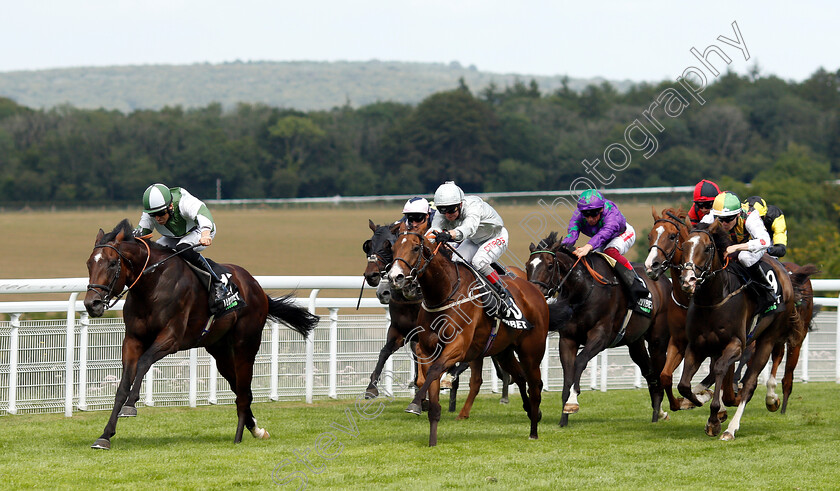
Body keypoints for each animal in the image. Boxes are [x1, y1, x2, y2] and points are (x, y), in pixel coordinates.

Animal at [84, 221, 318, 452]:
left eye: (112, 263)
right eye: (89, 264)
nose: (91, 304)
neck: (152, 284)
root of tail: (256, 287)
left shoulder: (171, 338)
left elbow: (144, 362)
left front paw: (131, 405)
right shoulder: (133, 340)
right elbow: (122, 385)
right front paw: (105, 436)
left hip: (245, 346)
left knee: (244, 393)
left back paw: (239, 437)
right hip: (220, 351)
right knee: (240, 390)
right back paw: (256, 430)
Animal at [388, 222, 552, 446]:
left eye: (415, 248)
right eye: (393, 248)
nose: (394, 277)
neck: (444, 292)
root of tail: (535, 290)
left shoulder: (458, 346)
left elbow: (436, 371)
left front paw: (415, 403)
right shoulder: (428, 349)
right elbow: (429, 383)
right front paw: (432, 439)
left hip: (531, 352)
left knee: (535, 385)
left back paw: (533, 430)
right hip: (503, 351)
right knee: (519, 376)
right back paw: (530, 411)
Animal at [528, 233, 672, 424]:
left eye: (550, 266)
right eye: (527, 266)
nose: (534, 293)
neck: (583, 290)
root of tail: (661, 279)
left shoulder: (601, 336)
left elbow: (580, 361)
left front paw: (573, 401)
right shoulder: (568, 339)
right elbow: (568, 372)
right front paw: (564, 417)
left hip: (658, 339)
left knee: (657, 369)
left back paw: (658, 413)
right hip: (635, 342)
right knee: (649, 372)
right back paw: (658, 412)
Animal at [680, 221, 816, 440]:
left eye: (708, 248)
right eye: (683, 246)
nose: (688, 280)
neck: (713, 300)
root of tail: (785, 273)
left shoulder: (736, 344)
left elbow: (721, 370)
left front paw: (714, 418)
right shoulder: (696, 346)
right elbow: (684, 385)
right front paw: (701, 399)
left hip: (768, 339)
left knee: (751, 383)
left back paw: (732, 428)